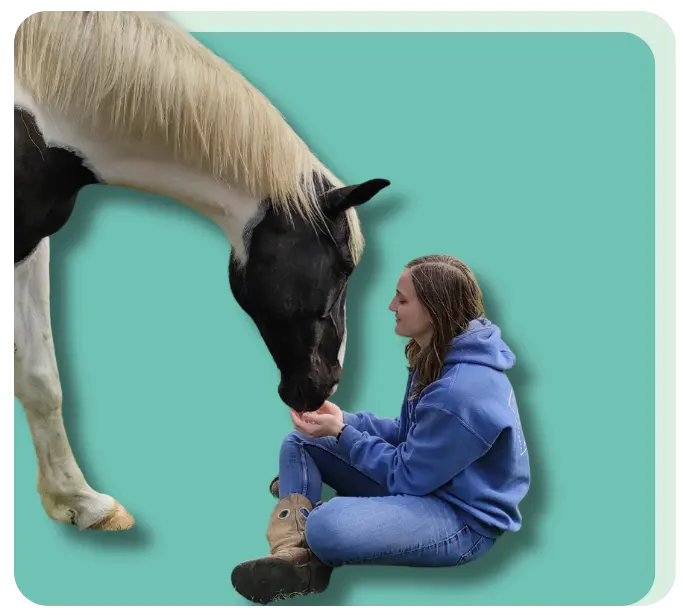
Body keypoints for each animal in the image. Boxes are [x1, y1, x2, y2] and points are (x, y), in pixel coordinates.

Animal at [12, 9, 390, 532]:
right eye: (344, 267)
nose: (323, 387)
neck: (37, 107)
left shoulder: (31, 241)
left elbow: (39, 374)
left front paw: (81, 501)